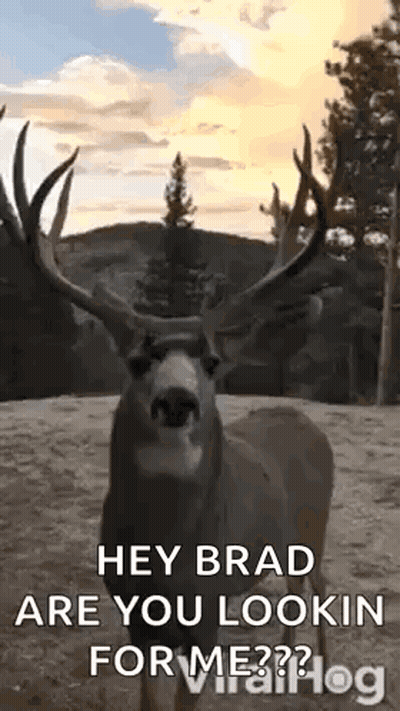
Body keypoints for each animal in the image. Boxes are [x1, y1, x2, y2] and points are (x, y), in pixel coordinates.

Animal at [1, 107, 334, 711]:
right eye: (136, 360)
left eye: (213, 361)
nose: (177, 400)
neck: (167, 563)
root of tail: (306, 422)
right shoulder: (135, 617)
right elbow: (149, 700)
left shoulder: (206, 617)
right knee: (296, 587)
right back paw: (283, 663)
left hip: (315, 523)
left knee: (320, 583)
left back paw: (321, 670)